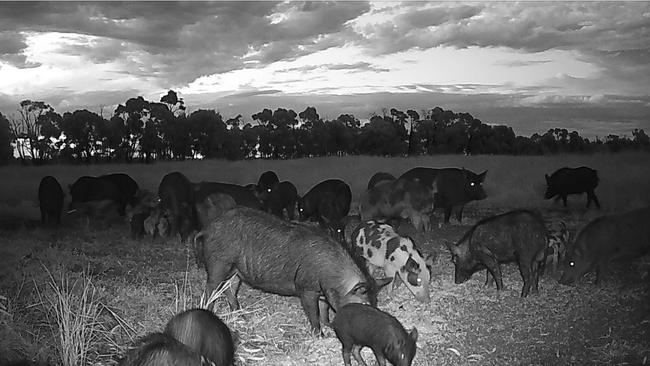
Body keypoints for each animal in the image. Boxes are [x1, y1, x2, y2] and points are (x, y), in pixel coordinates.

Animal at [195, 207, 378, 336]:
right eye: (363, 305)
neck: (335, 279)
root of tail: (208, 227)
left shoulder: (323, 292)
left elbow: (324, 310)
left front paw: (328, 325)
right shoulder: (306, 288)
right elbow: (313, 312)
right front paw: (320, 335)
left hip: (236, 270)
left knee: (229, 289)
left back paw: (242, 315)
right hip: (219, 262)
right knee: (211, 288)